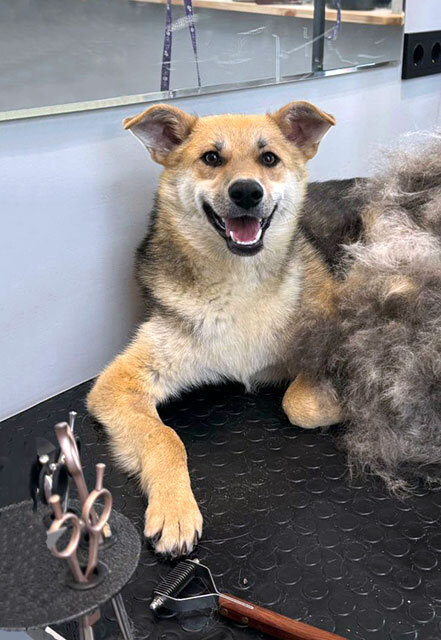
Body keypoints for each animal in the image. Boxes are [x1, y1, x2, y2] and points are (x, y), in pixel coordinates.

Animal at [87, 100, 346, 557]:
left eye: (269, 159)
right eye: (211, 158)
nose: (246, 192)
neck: (239, 282)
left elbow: (299, 403)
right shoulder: (117, 385)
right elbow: (165, 438)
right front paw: (174, 507)